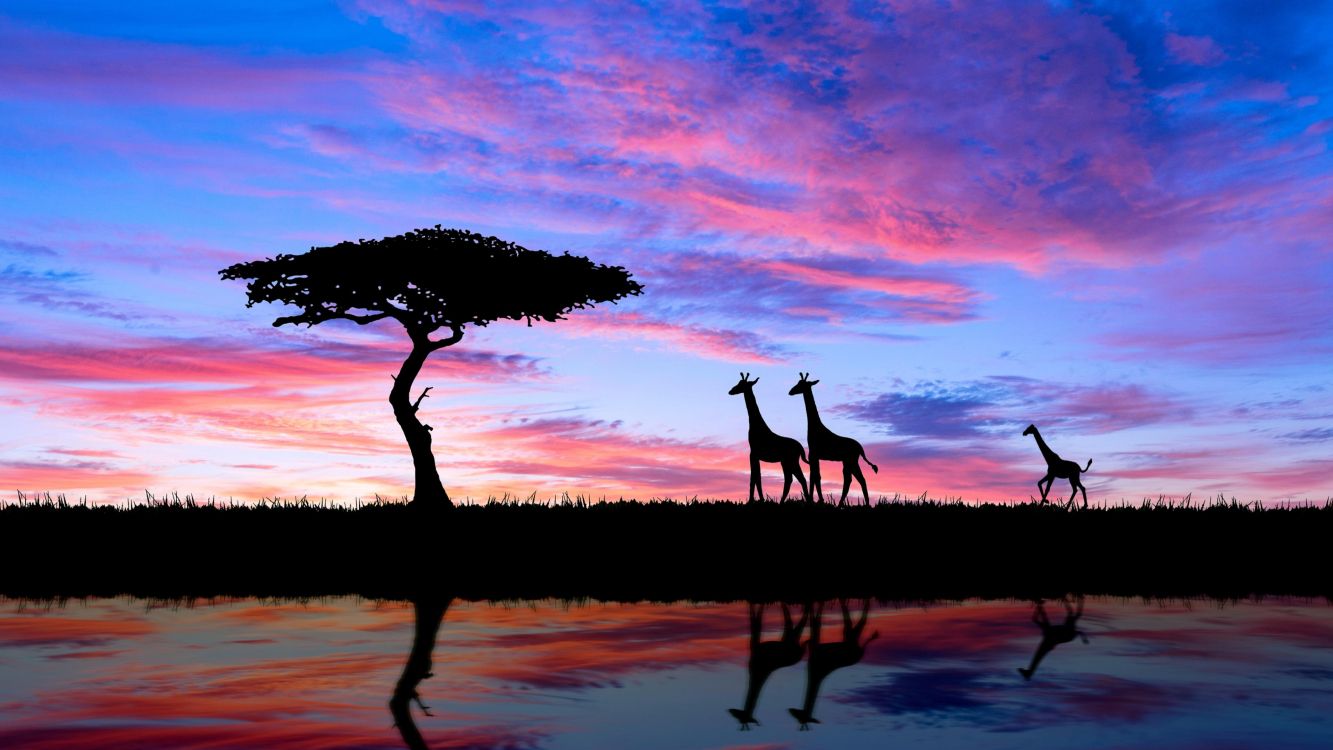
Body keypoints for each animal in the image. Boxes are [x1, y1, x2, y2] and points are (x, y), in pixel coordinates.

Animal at [730, 370, 810, 500]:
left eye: (742, 385)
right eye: (738, 383)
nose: (731, 391)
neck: (756, 425)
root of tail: (800, 448)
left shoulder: (753, 454)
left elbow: (754, 478)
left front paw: (753, 500)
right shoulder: (756, 456)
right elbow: (757, 478)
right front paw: (761, 499)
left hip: (791, 461)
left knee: (797, 479)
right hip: (786, 462)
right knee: (793, 479)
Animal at [730, 602, 810, 730]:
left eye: (742, 718)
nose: (743, 720)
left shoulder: (756, 648)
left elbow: (756, 622)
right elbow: (755, 622)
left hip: (790, 640)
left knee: (792, 620)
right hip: (790, 639)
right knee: (793, 622)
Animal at [783, 373, 879, 508]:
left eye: (801, 385)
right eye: (797, 383)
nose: (790, 391)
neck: (815, 428)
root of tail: (861, 448)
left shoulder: (813, 455)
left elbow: (815, 477)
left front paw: (815, 500)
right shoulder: (815, 457)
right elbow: (816, 477)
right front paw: (817, 500)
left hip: (851, 461)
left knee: (856, 480)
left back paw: (856, 505)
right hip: (848, 461)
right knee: (854, 480)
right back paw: (847, 504)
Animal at [783, 602, 879, 730]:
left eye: (801, 717)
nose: (793, 710)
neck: (815, 674)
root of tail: (859, 653)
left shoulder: (815, 646)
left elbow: (816, 620)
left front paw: (813, 605)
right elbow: (816, 620)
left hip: (849, 636)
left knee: (856, 620)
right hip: (850, 638)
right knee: (856, 623)